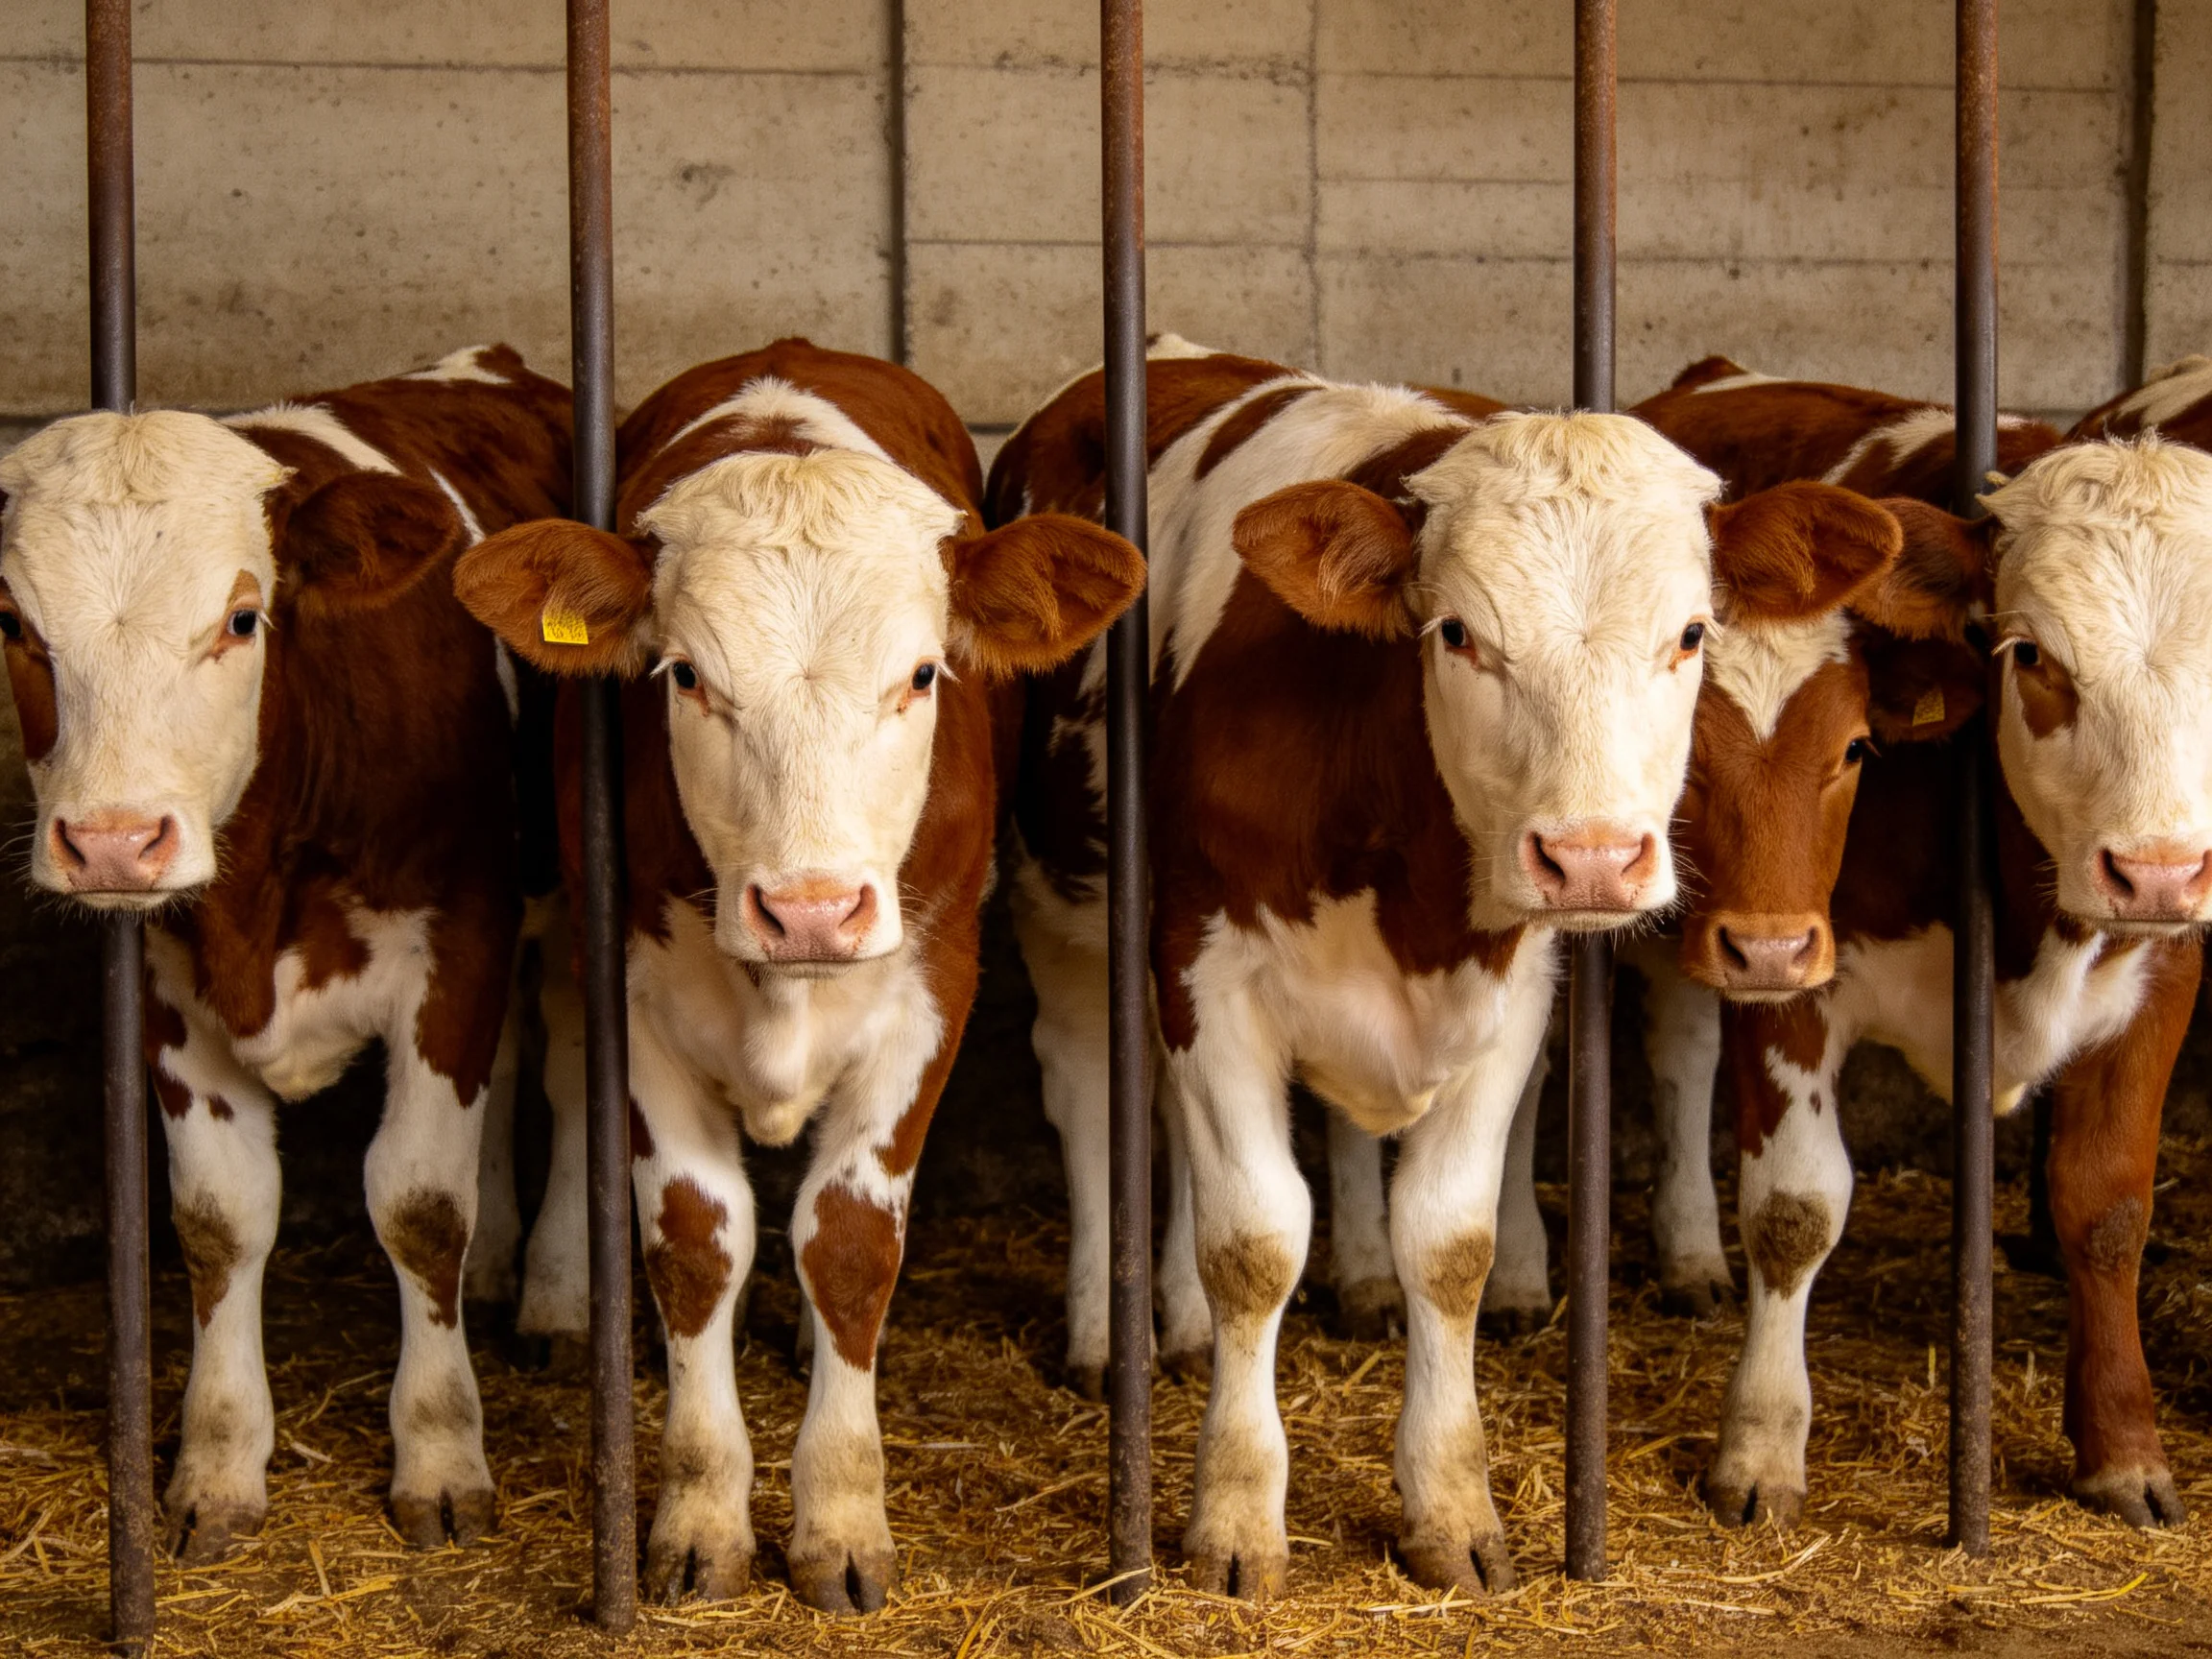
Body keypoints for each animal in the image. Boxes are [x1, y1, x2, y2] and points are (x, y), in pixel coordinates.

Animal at [0, 344, 572, 1558]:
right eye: (13, 622)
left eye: (242, 618)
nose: (112, 839)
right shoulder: (168, 982)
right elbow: (219, 1220)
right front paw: (216, 1465)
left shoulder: (460, 936)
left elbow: (419, 1202)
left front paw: (440, 1454)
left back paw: (554, 1293)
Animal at [451, 339, 1144, 1613]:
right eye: (683, 677)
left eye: (922, 675)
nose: (811, 908)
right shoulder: (633, 994)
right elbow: (693, 1237)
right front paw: (698, 1522)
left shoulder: (934, 992)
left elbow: (851, 1242)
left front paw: (841, 1521)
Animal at [990, 345, 1890, 1597]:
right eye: (1458, 632)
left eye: (1692, 634)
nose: (1592, 857)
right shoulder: (1202, 971)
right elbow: (1253, 1240)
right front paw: (1234, 1519)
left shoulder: (1507, 995)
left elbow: (1449, 1242)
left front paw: (1452, 1508)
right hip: (1060, 905)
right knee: (1087, 1096)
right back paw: (1100, 1332)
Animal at [1632, 358, 2211, 1532]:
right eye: (2030, 654)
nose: (2160, 872)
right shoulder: (1791, 962)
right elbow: (1796, 1205)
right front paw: (1760, 1446)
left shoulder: (2164, 968)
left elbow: (2109, 1206)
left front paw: (2124, 1449)